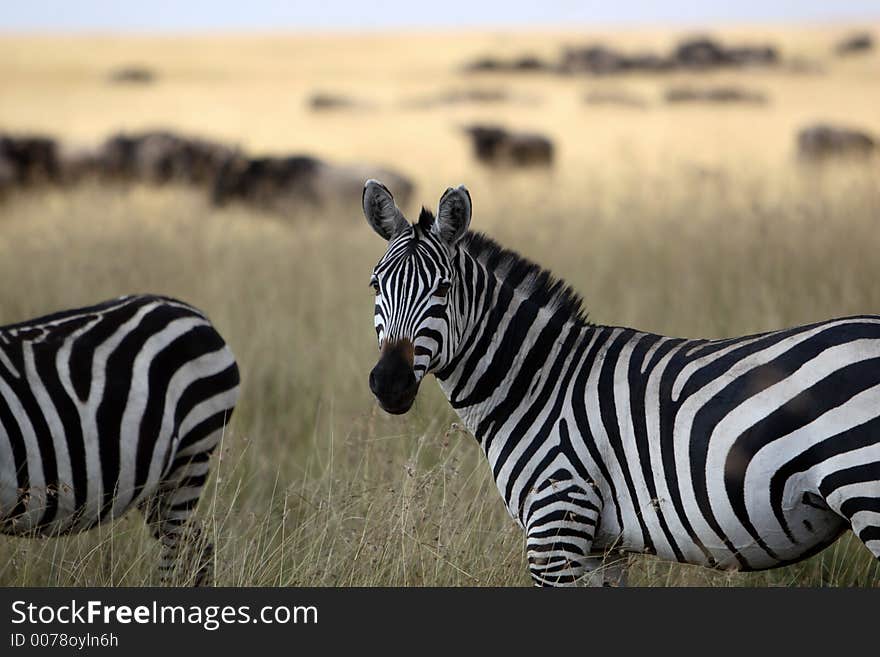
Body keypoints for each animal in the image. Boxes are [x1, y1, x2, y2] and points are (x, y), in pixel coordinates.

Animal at [360, 178, 880, 584]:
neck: (537, 382)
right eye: (375, 285)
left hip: (867, 489)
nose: (389, 383)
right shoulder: (600, 547)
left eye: (444, 289)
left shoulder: (557, 522)